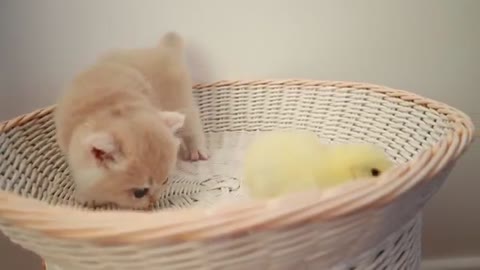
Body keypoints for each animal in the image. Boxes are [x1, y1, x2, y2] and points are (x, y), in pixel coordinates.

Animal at [54, 31, 208, 209]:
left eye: (165, 181)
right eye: (139, 193)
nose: (153, 201)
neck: (110, 106)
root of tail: (162, 49)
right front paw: (87, 196)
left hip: (181, 102)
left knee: (192, 125)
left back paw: (196, 150)